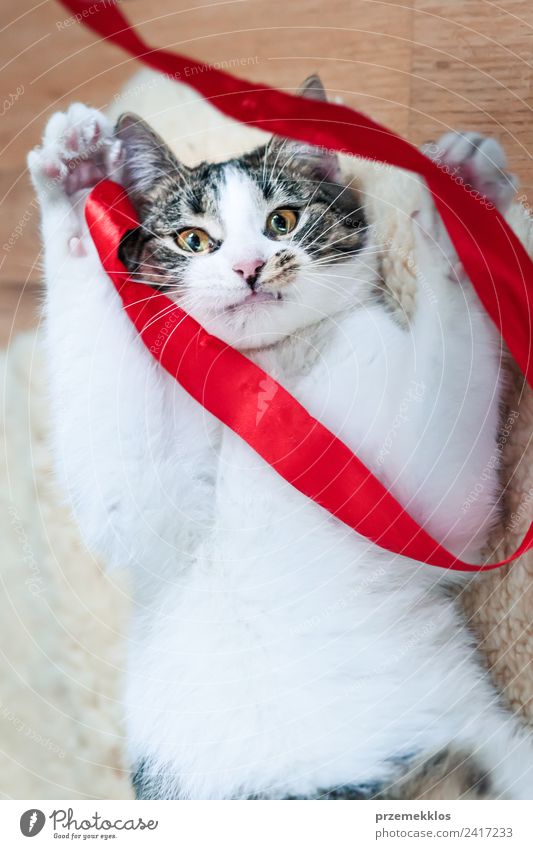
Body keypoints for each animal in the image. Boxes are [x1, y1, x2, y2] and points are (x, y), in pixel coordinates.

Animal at [29, 76, 532, 800]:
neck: (265, 379)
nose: (248, 267)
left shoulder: (433, 503)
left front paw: (460, 203)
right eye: (193, 239)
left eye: (283, 221)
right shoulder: (145, 523)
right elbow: (115, 477)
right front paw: (76, 181)